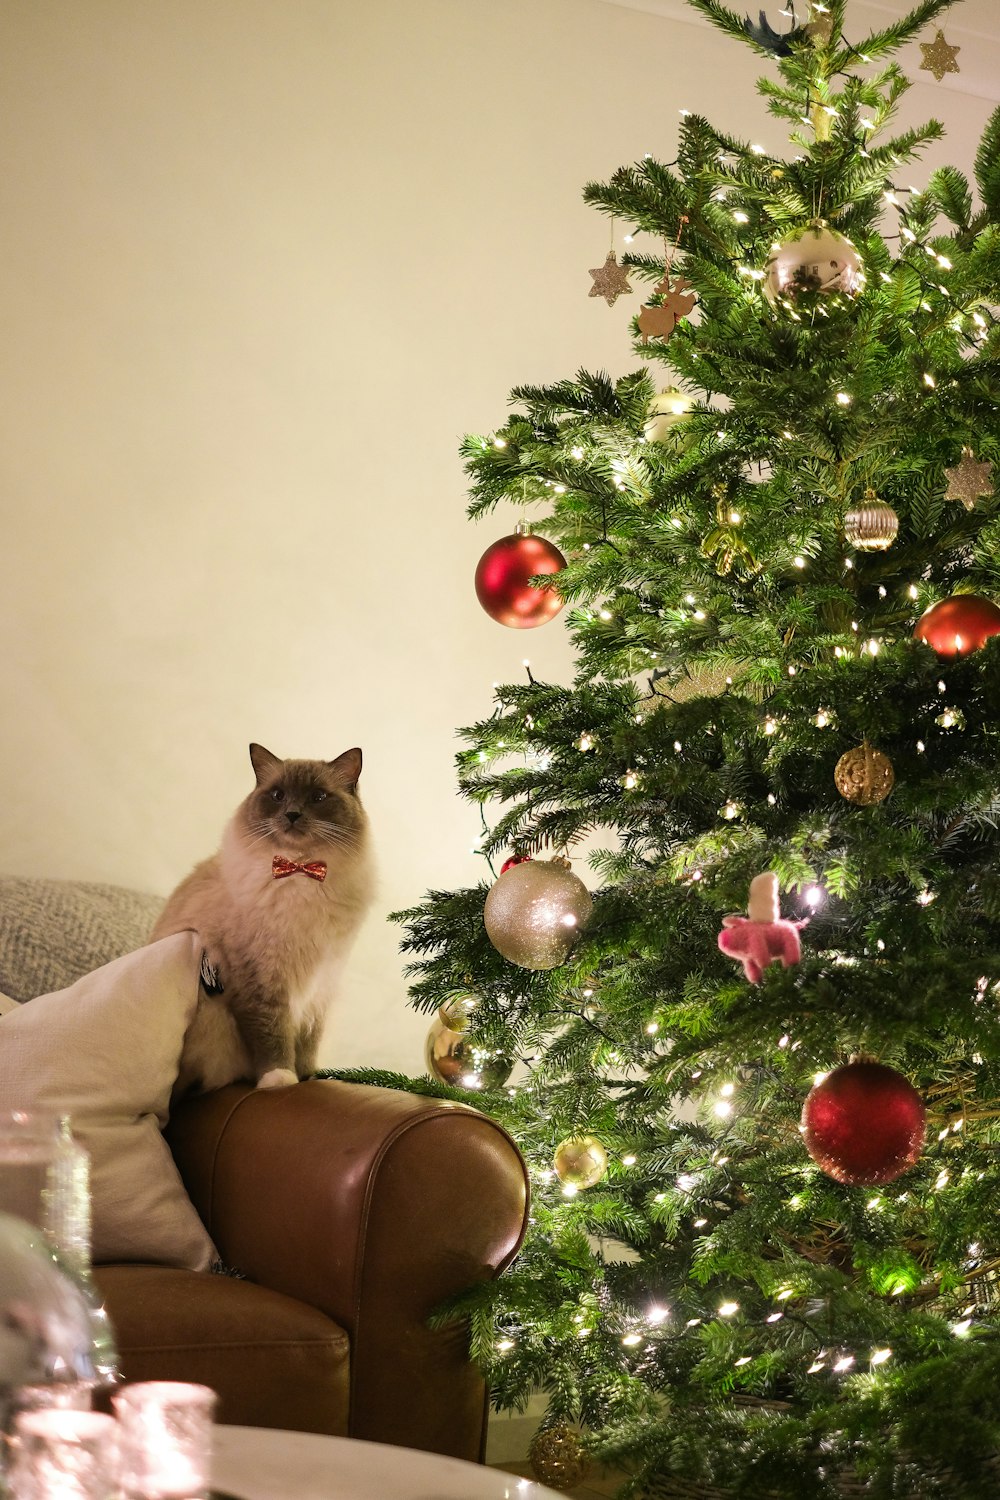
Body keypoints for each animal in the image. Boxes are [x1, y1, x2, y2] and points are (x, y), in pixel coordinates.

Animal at [152, 744, 374, 1098]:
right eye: (278, 795)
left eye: (318, 797)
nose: (293, 814)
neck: (299, 872)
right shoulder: (262, 979)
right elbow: (272, 1034)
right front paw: (280, 1080)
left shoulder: (321, 981)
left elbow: (308, 1040)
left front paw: (309, 1076)